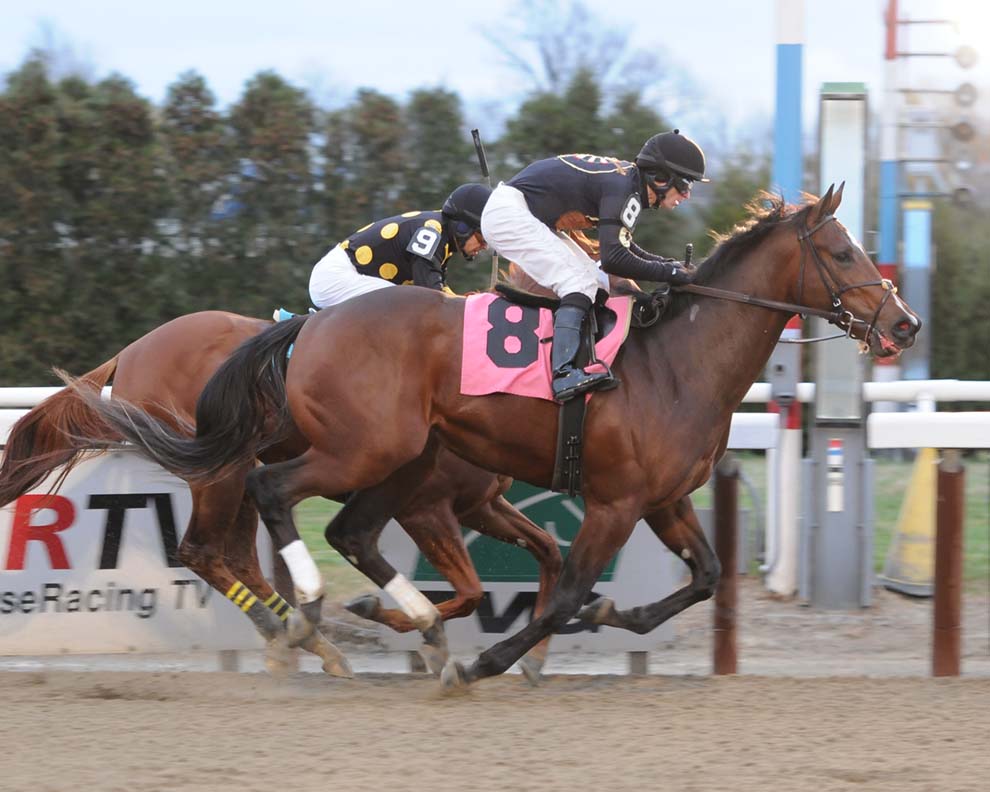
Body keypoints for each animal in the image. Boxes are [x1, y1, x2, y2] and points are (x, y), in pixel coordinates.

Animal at [0, 310, 560, 676]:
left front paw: (532, 656)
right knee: (203, 550)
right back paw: (295, 634)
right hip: (222, 465)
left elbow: (544, 552)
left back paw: (304, 639)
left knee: (238, 557)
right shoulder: (425, 507)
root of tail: (131, 352)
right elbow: (468, 591)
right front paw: (399, 624)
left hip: (238, 468)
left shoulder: (482, 505)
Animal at [68, 187, 924, 688]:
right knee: (258, 503)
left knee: (324, 533)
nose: (906, 324)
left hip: (394, 459)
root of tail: (309, 328)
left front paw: (608, 623)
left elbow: (705, 576)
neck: (676, 362)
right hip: (354, 452)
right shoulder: (611, 503)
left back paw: (365, 622)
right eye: (841, 251)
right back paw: (311, 615)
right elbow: (562, 590)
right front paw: (490, 657)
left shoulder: (661, 499)